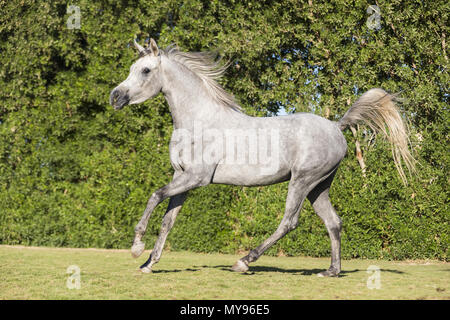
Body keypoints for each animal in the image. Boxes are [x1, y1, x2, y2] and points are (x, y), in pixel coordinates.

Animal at [110, 38, 414, 276]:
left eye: (145, 70)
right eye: (132, 69)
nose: (115, 97)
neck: (199, 120)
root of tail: (336, 127)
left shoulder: (196, 178)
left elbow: (154, 196)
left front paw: (136, 248)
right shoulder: (182, 178)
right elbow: (168, 220)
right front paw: (149, 263)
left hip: (302, 181)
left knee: (289, 221)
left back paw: (244, 261)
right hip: (319, 187)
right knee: (333, 222)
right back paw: (330, 271)